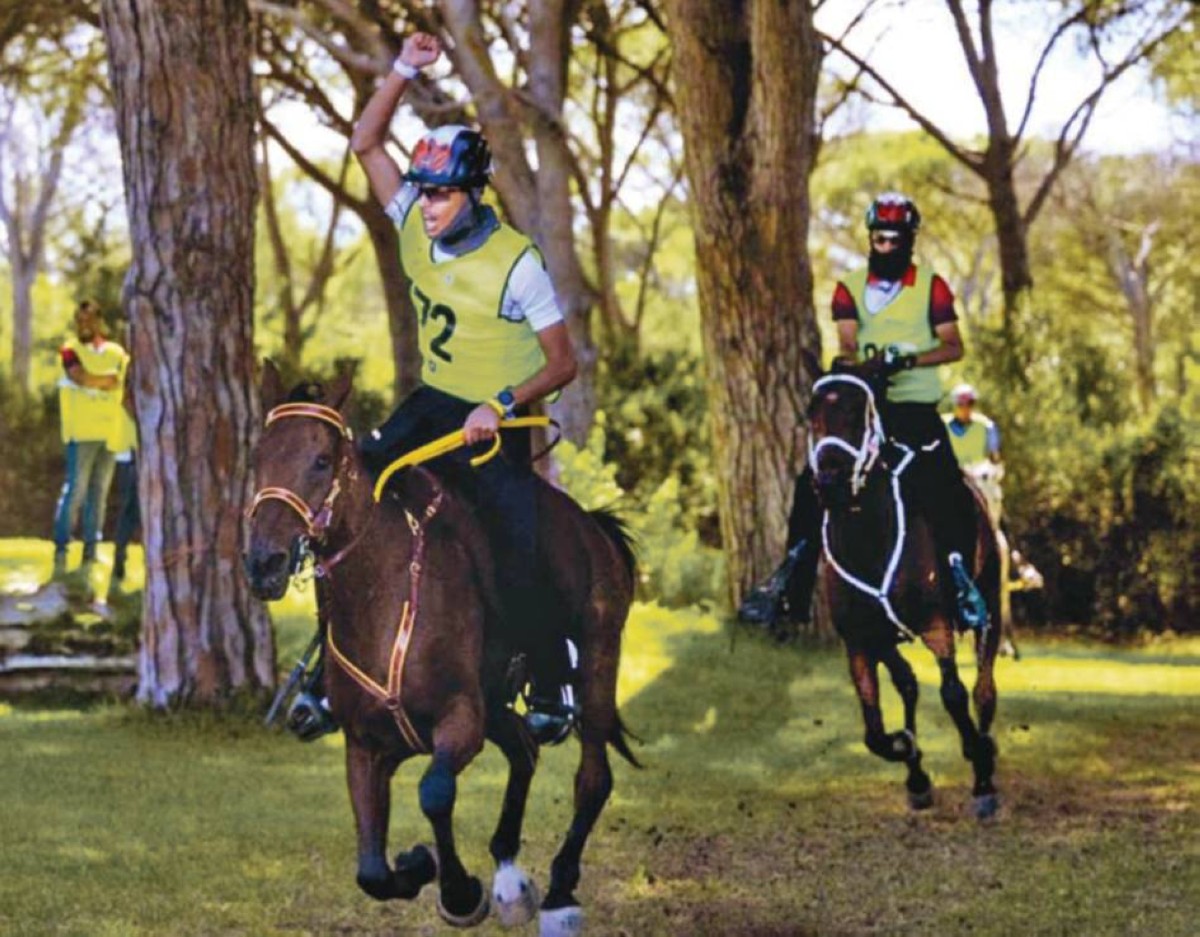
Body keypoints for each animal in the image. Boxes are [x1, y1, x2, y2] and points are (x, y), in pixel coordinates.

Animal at [242, 363, 639, 936]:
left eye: (321, 461)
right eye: (257, 458)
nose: (264, 563)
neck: (383, 599)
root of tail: (595, 528)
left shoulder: (460, 720)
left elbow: (434, 793)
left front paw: (458, 891)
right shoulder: (365, 747)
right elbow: (371, 870)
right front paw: (418, 864)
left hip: (596, 661)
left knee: (592, 778)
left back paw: (559, 895)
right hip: (496, 703)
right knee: (525, 748)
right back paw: (511, 881)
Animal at [807, 362, 1002, 819]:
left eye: (858, 410)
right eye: (811, 413)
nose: (830, 481)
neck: (868, 538)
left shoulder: (936, 625)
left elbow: (953, 694)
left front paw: (979, 767)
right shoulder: (862, 640)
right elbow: (876, 725)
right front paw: (909, 755)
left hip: (990, 606)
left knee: (984, 690)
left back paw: (985, 762)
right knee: (912, 686)